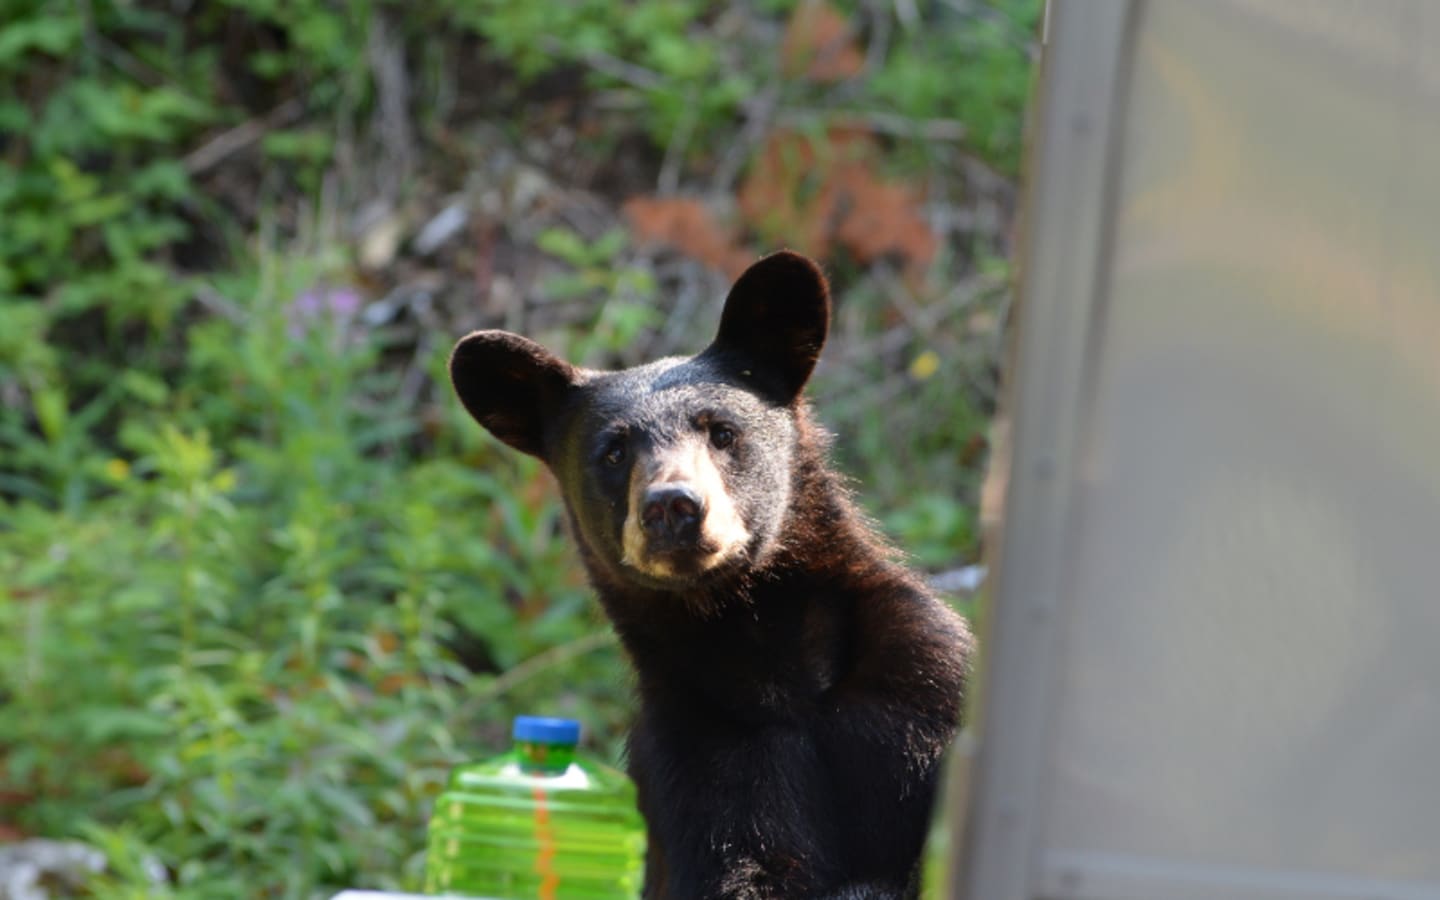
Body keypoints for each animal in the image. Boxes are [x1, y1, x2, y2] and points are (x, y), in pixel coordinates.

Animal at [449, 250, 973, 900]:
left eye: (722, 431)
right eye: (613, 453)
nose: (672, 507)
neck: (766, 652)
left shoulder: (922, 685)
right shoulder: (696, 750)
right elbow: (739, 859)